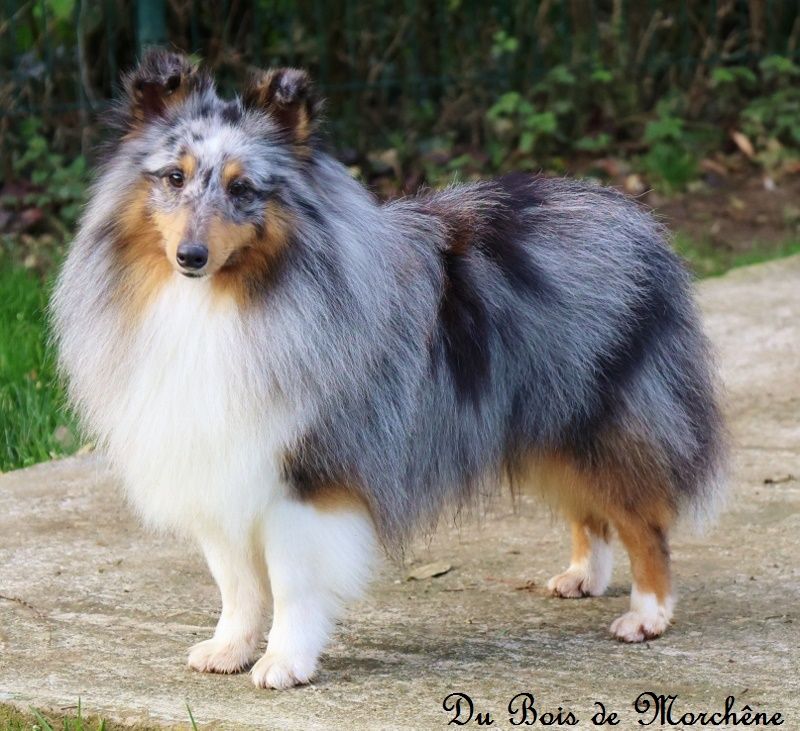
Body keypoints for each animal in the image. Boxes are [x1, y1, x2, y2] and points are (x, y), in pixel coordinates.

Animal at [50, 48, 724, 688]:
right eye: (174, 177)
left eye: (243, 190)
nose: (190, 256)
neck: (225, 302)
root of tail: (630, 212)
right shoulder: (218, 464)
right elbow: (236, 581)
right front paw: (229, 650)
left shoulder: (306, 474)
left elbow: (291, 582)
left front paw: (285, 663)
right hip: (546, 419)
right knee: (591, 512)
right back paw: (583, 577)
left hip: (601, 419)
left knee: (642, 519)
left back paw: (647, 615)